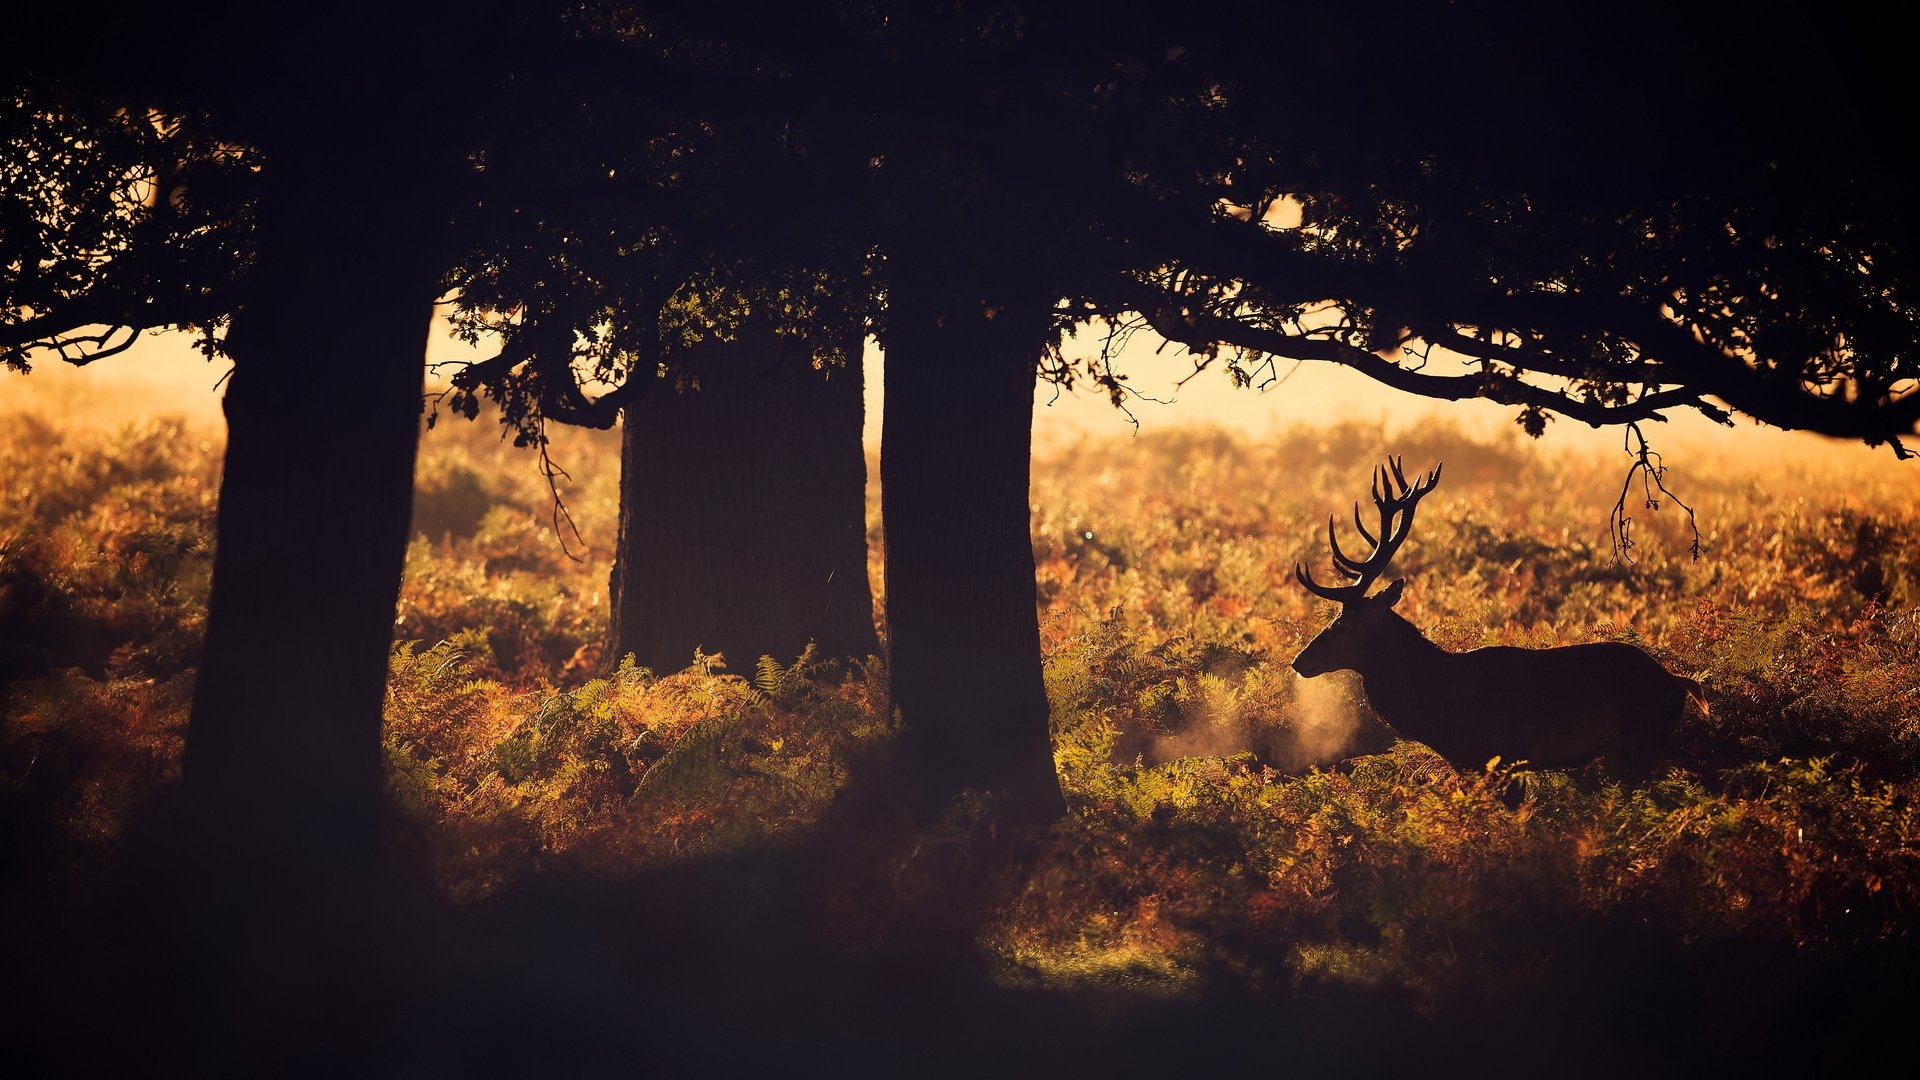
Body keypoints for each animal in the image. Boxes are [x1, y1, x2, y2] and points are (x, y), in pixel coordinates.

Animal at [1290, 455, 1697, 780]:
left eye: (1343, 625)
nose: (1299, 661)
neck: (1444, 714)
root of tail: (1680, 684)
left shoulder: (1504, 757)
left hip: (1640, 744)